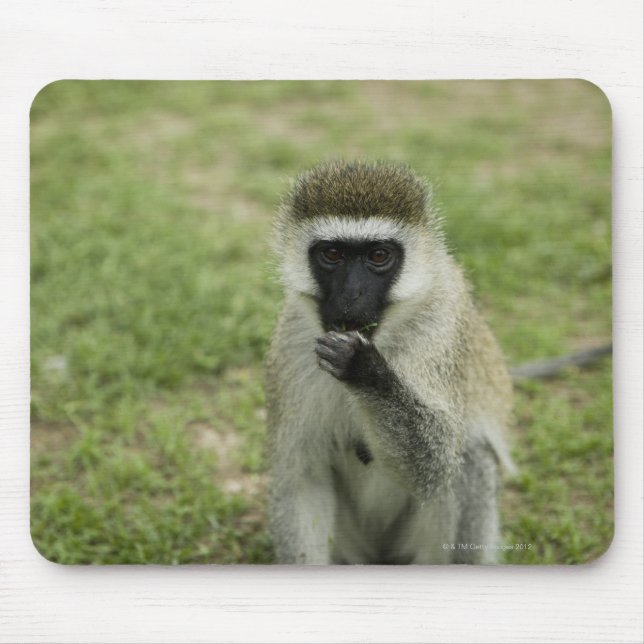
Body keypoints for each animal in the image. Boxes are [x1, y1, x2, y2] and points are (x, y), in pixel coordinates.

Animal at [265, 160, 513, 564]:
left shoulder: (437, 330)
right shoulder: (292, 346)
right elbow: (302, 479)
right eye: (332, 254)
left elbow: (434, 466)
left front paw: (363, 369)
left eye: (379, 256)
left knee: (470, 459)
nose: (352, 295)